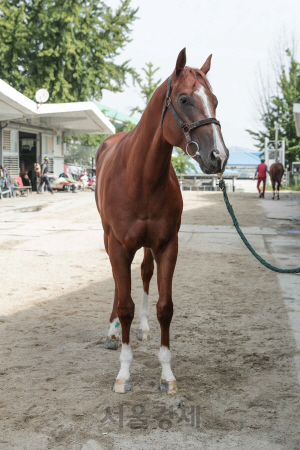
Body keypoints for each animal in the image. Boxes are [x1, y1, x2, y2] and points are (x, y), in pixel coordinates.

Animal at [95, 48, 229, 394]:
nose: (219, 157)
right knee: (119, 286)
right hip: (108, 239)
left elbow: (164, 307)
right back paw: (112, 331)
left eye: (215, 100)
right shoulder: (118, 246)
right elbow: (125, 303)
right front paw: (124, 374)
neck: (139, 175)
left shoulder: (168, 245)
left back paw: (141, 329)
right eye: (183, 99)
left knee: (144, 273)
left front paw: (167, 374)